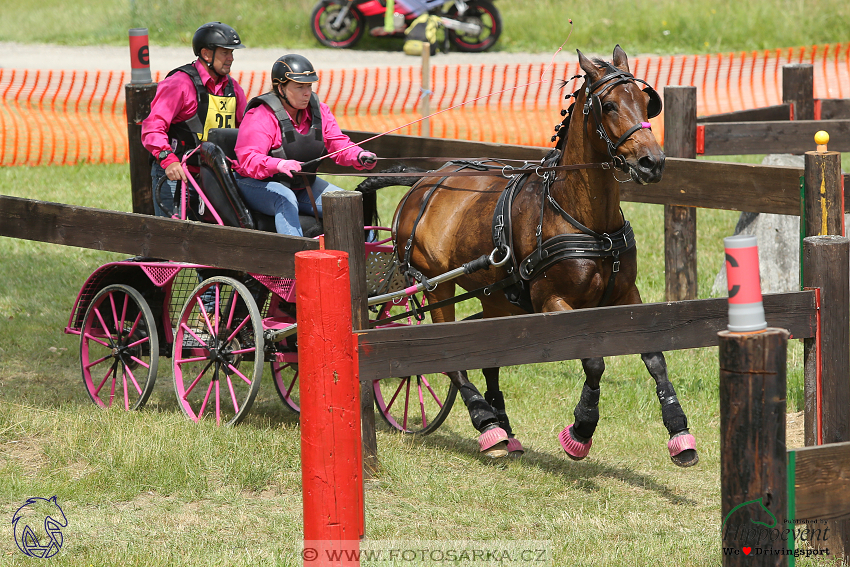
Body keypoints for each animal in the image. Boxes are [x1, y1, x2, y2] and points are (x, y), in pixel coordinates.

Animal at [364, 47, 696, 466]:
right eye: (608, 105)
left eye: (644, 101)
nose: (652, 162)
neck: (586, 220)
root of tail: (424, 182)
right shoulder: (552, 301)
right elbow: (594, 360)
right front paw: (580, 430)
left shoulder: (624, 296)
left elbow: (654, 356)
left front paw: (679, 431)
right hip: (437, 286)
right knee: (449, 358)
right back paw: (487, 425)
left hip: (496, 296)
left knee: (489, 353)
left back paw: (502, 426)